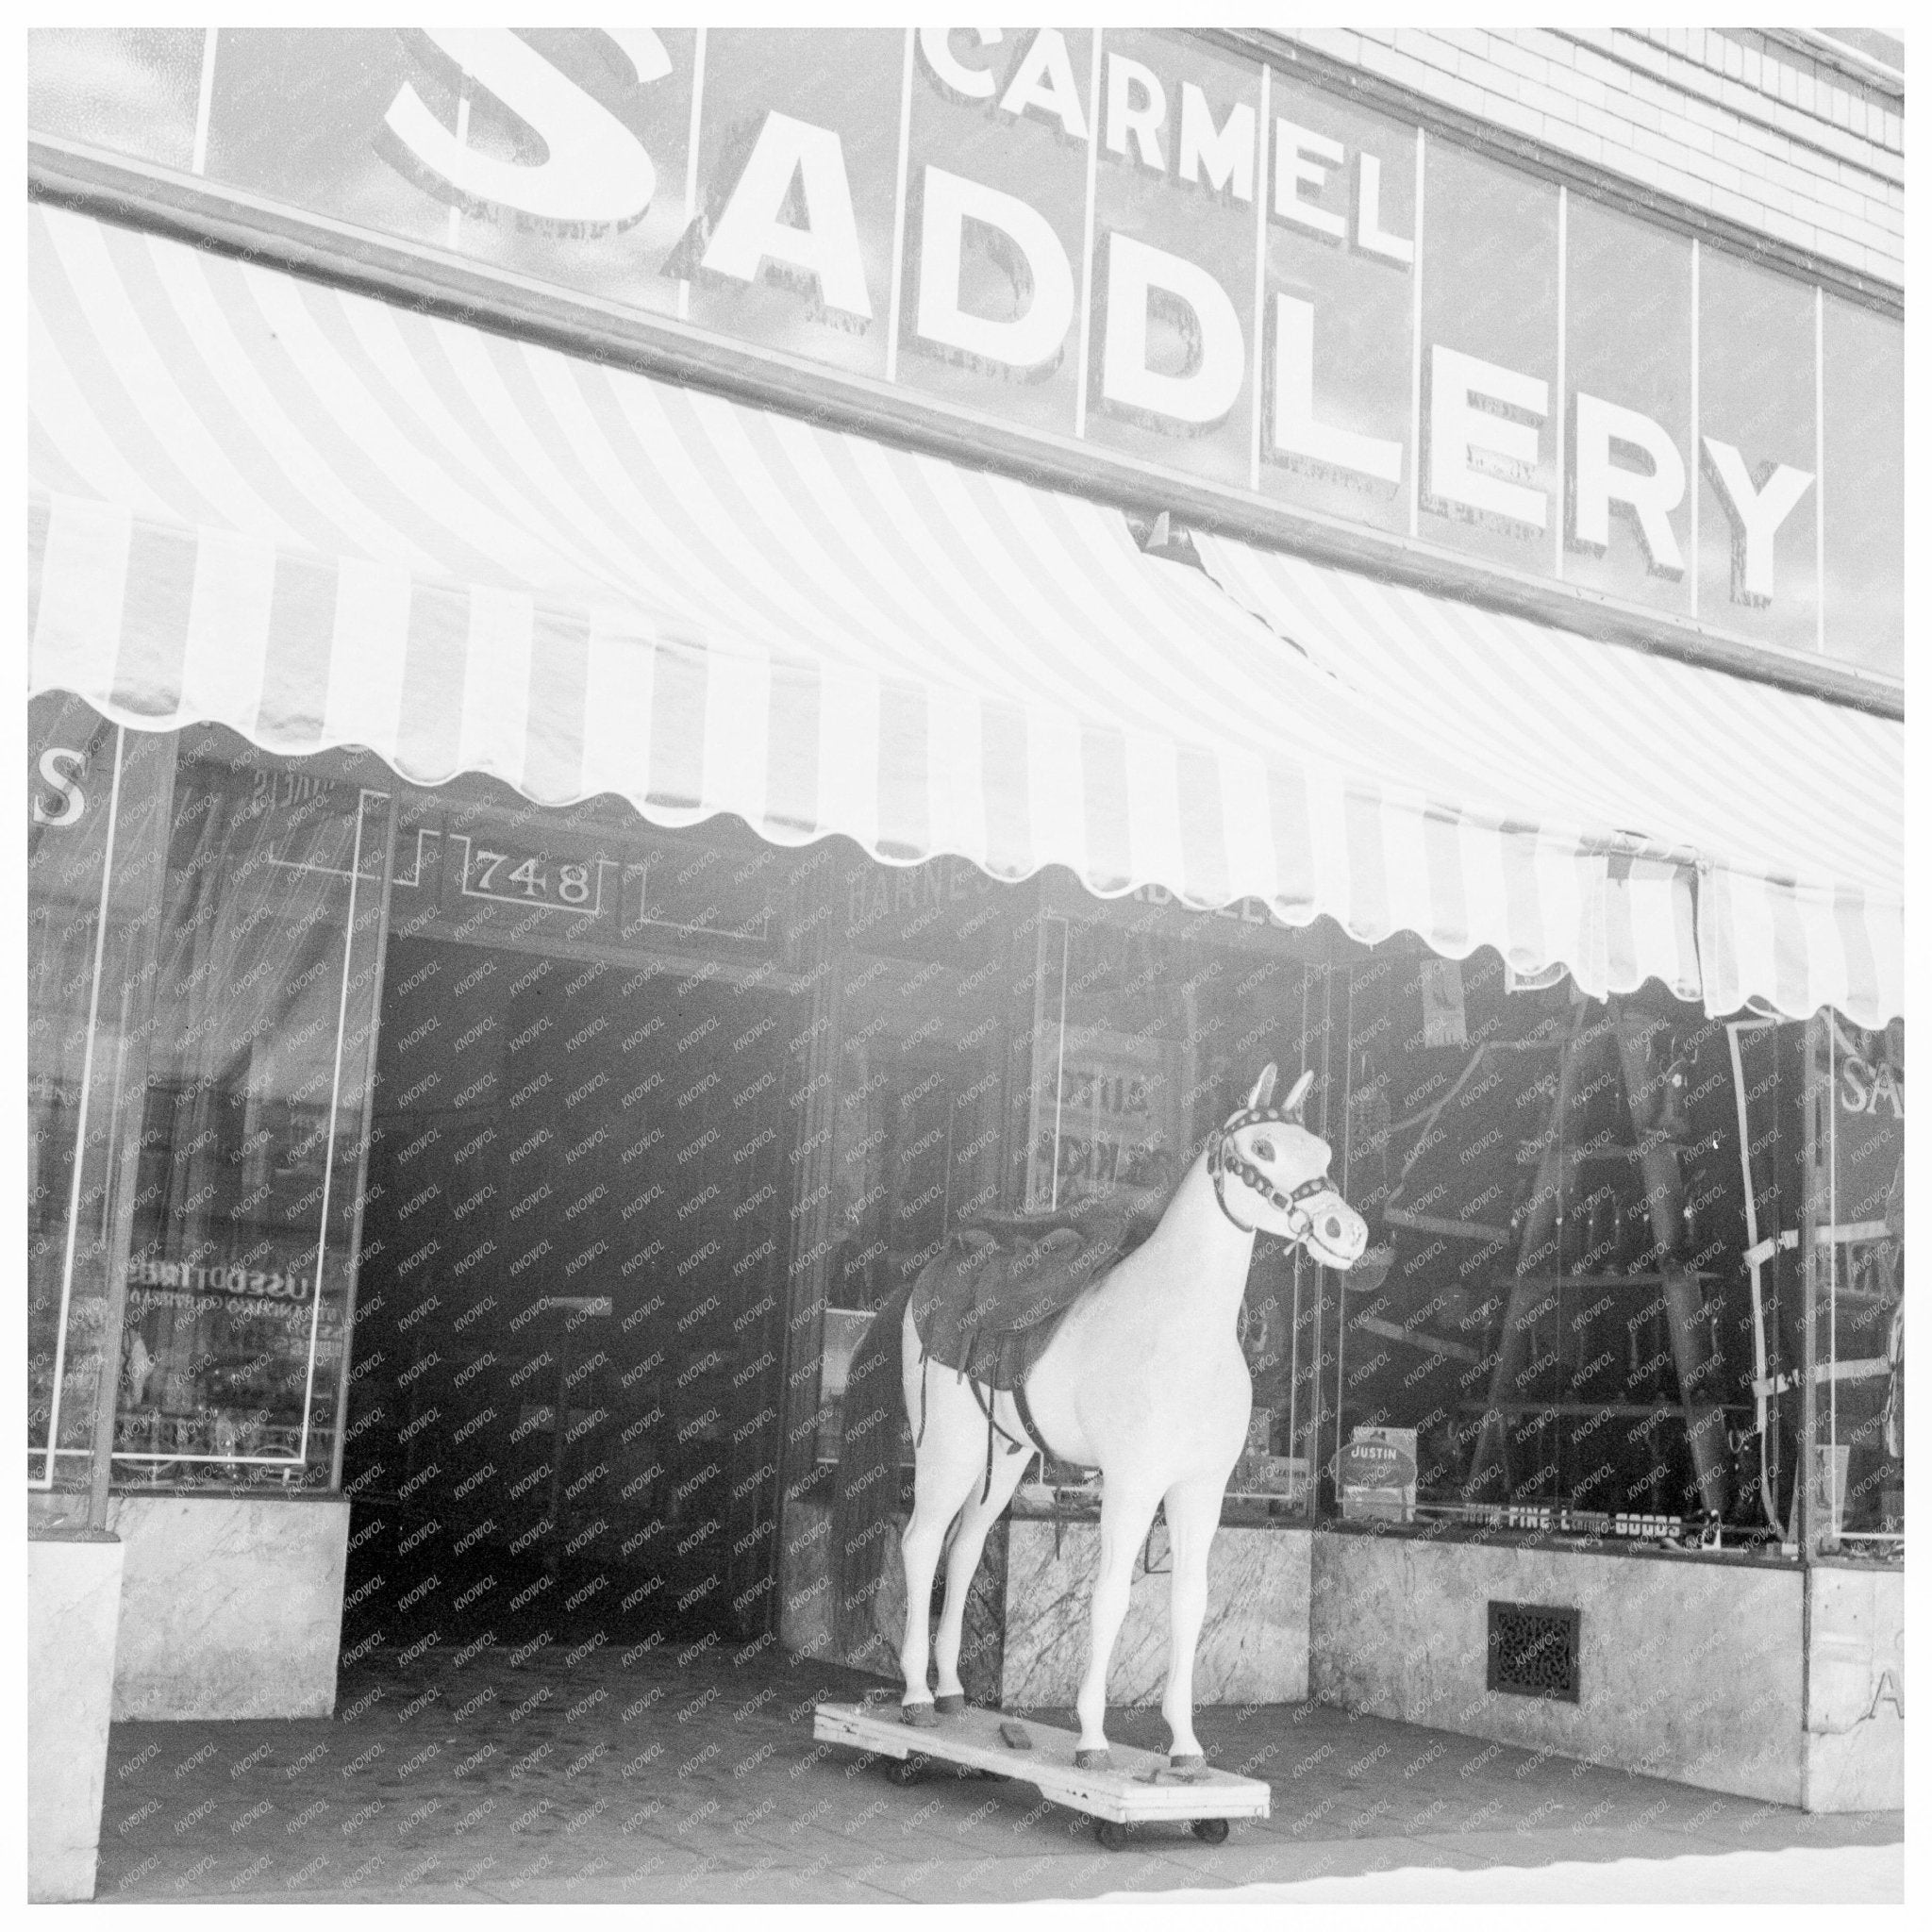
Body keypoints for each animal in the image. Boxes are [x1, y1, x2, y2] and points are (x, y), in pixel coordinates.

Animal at [838, 1066, 1367, 1769]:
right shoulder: (1132, 1484)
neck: (1181, 1330)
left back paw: (950, 1691)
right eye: (1263, 1150)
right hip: (947, 1450)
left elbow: (1190, 1603)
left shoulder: (1202, 1490)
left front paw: (1185, 1746)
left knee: (967, 1546)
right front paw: (1092, 1738)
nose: (1347, 1233)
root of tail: (921, 1285)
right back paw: (917, 1698)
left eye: (1324, 1154)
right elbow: (1111, 1596)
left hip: (1005, 1458)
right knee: (922, 1543)